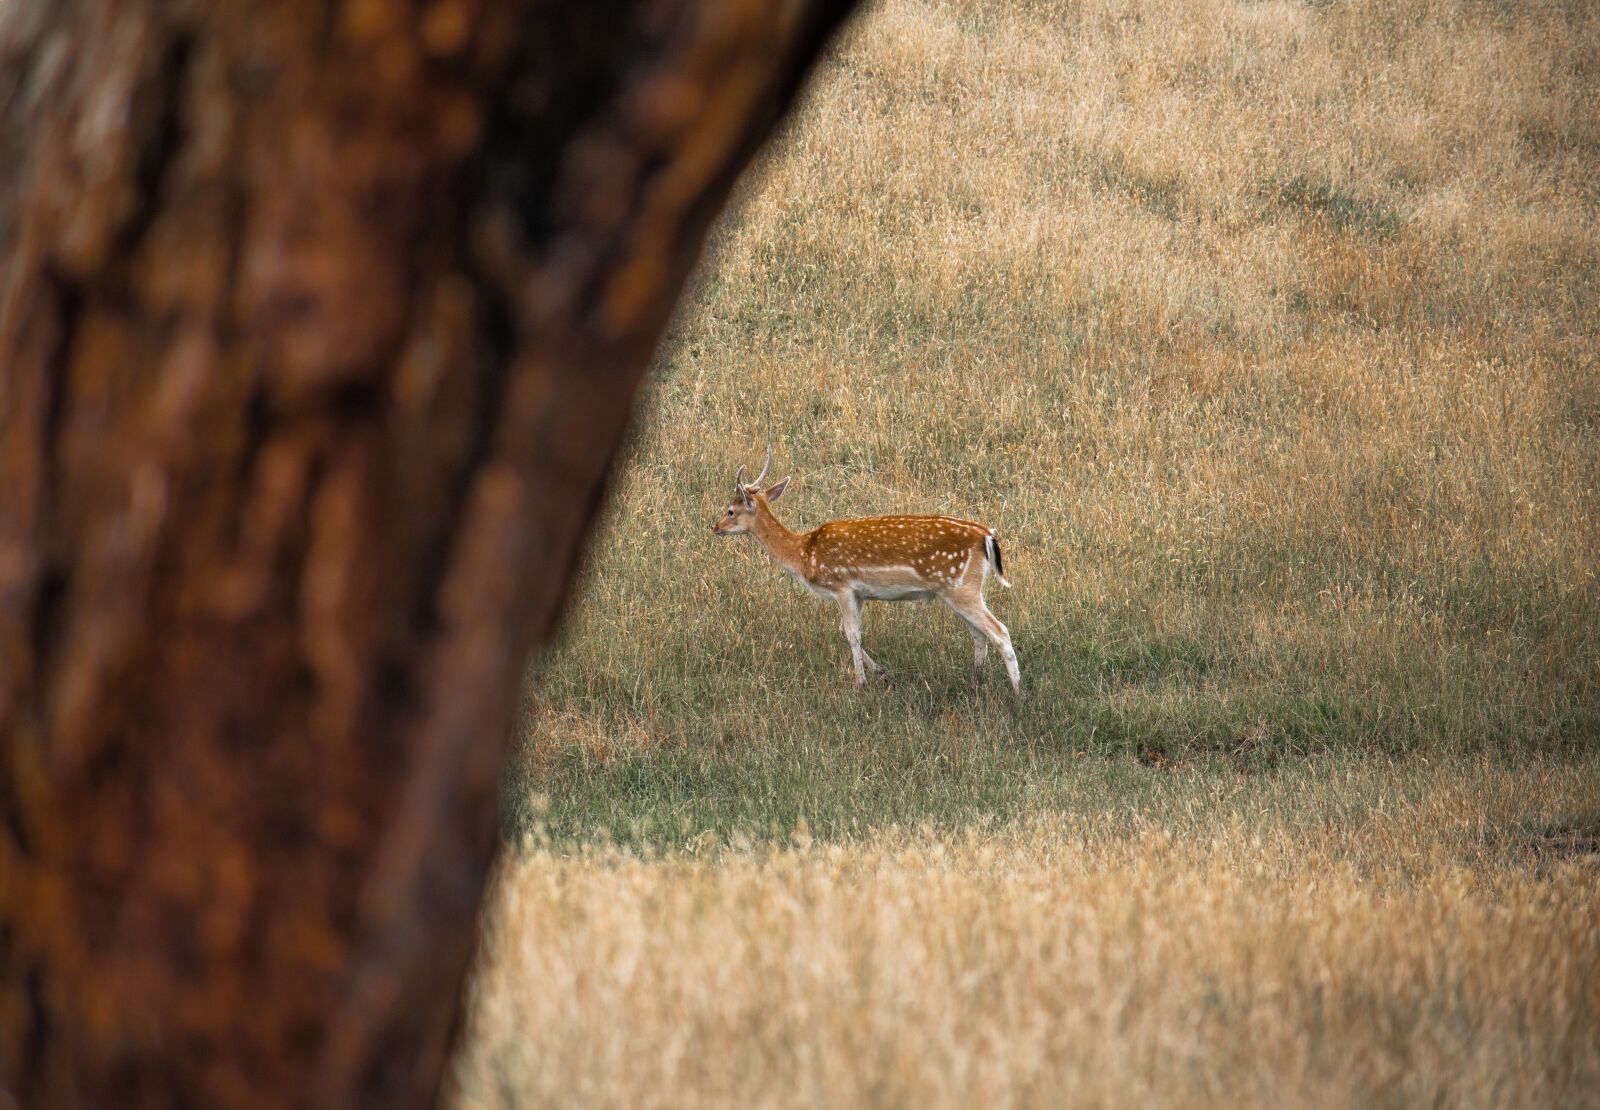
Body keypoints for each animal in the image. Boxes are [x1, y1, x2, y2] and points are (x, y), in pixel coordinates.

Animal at [712, 448, 1021, 694]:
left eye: (730, 511)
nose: (714, 527)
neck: (804, 554)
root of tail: (987, 537)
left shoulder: (842, 585)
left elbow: (851, 634)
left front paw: (860, 684)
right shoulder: (858, 594)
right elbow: (845, 631)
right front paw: (883, 674)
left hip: (960, 587)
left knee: (999, 630)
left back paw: (1018, 693)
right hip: (962, 590)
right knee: (979, 634)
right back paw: (976, 683)